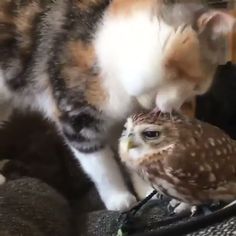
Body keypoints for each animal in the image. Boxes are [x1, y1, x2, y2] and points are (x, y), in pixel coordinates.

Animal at [0, 0, 234, 210]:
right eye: (195, 87)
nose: (175, 107)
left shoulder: (122, 124)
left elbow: (128, 156)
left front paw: (145, 190)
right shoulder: (76, 119)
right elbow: (101, 166)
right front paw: (119, 198)